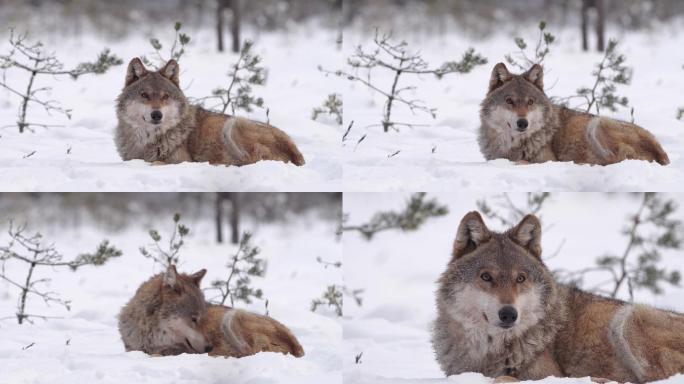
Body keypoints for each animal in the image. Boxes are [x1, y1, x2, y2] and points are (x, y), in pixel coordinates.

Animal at [115, 57, 304, 166]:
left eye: (165, 96)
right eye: (144, 95)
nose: (156, 115)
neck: (147, 140)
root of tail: (297, 154)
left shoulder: (181, 160)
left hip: (233, 125)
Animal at [430, 212, 684, 382]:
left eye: (520, 278)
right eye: (486, 277)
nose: (509, 314)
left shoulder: (548, 374)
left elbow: (505, 378)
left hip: (627, 319)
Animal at [476, 62, 668, 165]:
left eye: (530, 102)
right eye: (509, 101)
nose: (523, 123)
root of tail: (662, 154)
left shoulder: (549, 160)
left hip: (597, 125)